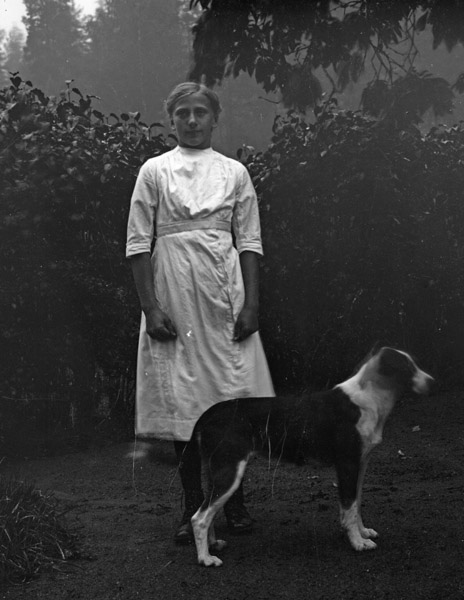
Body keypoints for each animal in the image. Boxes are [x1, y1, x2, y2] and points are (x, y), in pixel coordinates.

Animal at [188, 346, 434, 566]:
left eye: (415, 362)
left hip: (216, 469)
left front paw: (363, 532)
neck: (368, 399)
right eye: (406, 367)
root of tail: (206, 415)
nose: (432, 381)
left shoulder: (361, 463)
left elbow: (356, 504)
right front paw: (357, 542)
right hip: (229, 470)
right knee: (199, 517)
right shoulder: (347, 464)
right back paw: (205, 558)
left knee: (208, 512)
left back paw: (213, 545)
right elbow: (349, 507)